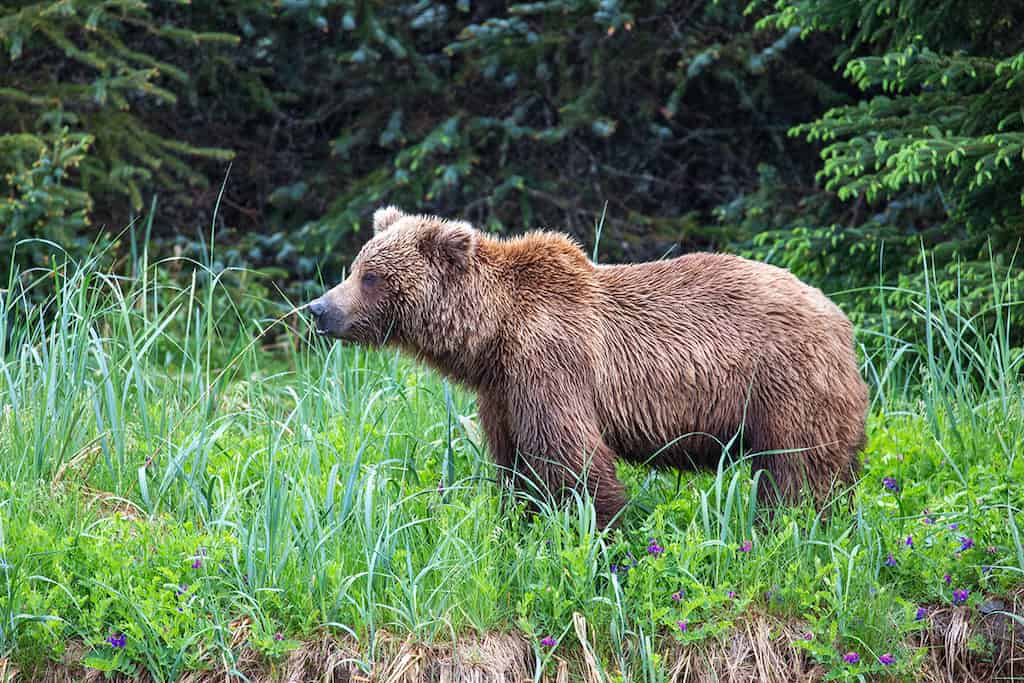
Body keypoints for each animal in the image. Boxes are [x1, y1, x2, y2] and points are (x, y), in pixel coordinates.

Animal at [307, 208, 868, 528]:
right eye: (356, 267)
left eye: (371, 277)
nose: (319, 309)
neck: (493, 335)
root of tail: (841, 318)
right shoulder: (502, 391)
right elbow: (515, 463)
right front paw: (520, 521)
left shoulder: (551, 362)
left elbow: (571, 458)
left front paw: (600, 531)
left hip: (785, 384)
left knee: (796, 468)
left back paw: (787, 525)